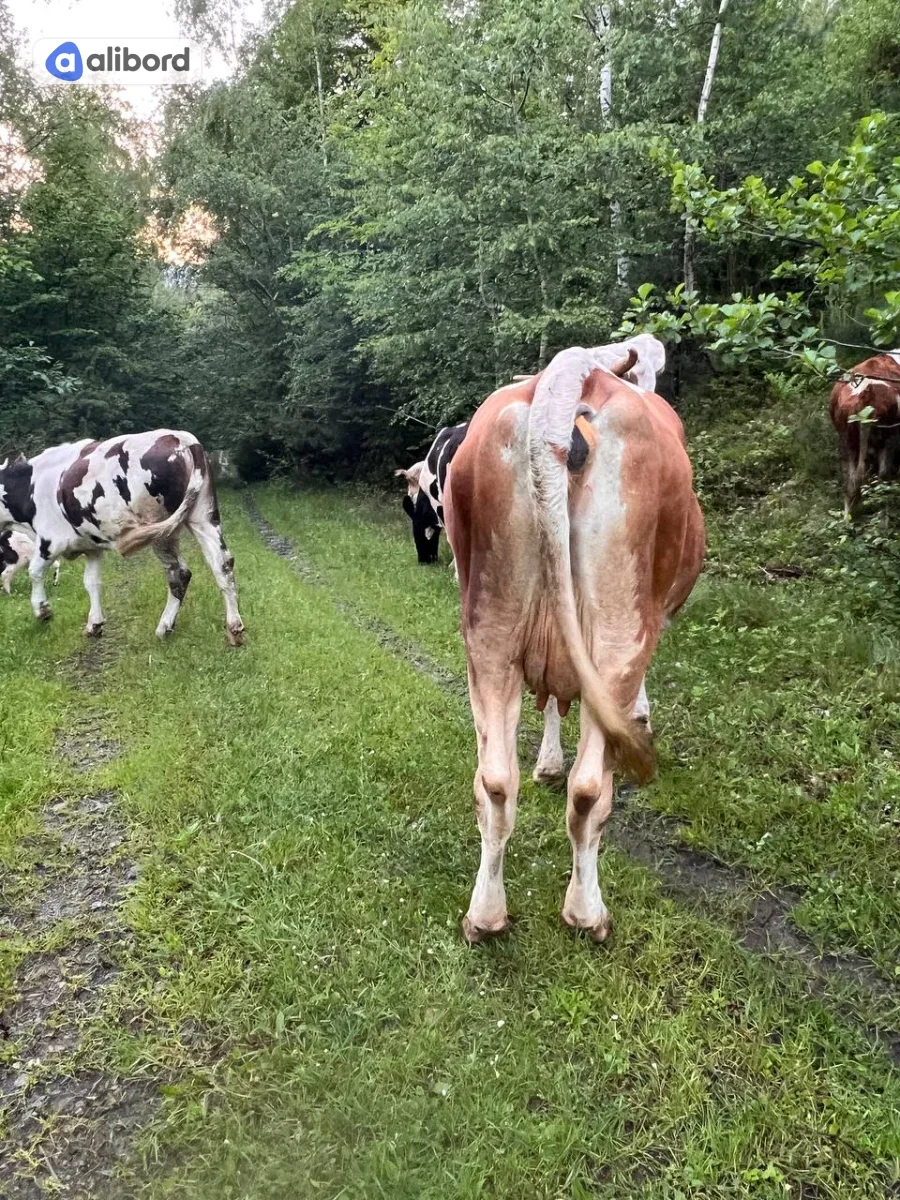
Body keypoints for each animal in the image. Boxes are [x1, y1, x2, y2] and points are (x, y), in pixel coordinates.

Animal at [0, 431, 244, 644]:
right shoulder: (92, 548)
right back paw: (234, 629)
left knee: (179, 573)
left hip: (160, 527)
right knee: (222, 564)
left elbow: (35, 571)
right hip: (204, 517)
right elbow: (91, 582)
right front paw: (94, 624)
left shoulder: (50, 541)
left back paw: (164, 628)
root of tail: (184, 439)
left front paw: (43, 610)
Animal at [444, 334, 705, 943]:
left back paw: (485, 916)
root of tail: (562, 380)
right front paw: (641, 721)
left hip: (489, 633)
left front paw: (546, 763)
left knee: (495, 781)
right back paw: (588, 914)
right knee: (588, 791)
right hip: (618, 630)